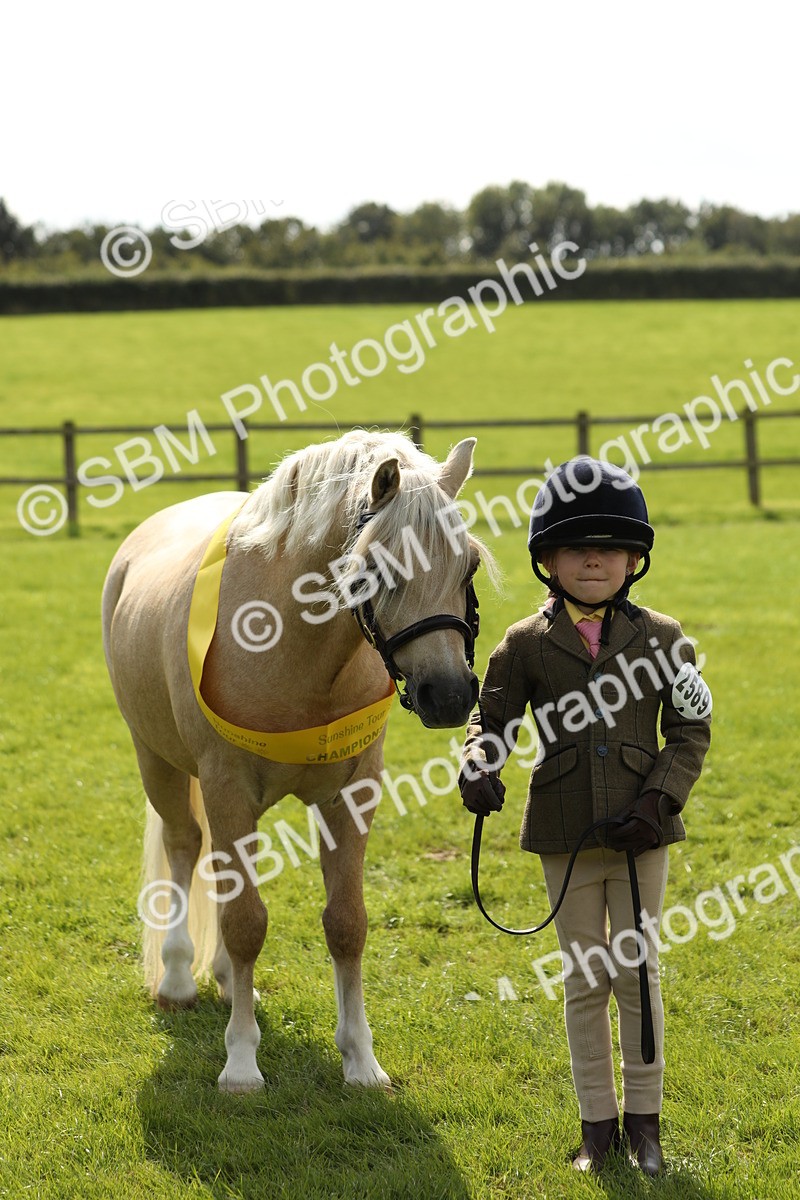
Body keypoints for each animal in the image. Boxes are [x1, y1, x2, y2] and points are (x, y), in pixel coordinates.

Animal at [102, 429, 492, 1093]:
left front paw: (361, 1060)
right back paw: (179, 980)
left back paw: (226, 980)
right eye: (376, 568)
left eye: (467, 564)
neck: (291, 644)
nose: (448, 694)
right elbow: (245, 923)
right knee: (183, 846)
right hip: (156, 759)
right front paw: (240, 1063)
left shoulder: (352, 794)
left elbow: (346, 923)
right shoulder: (227, 787)